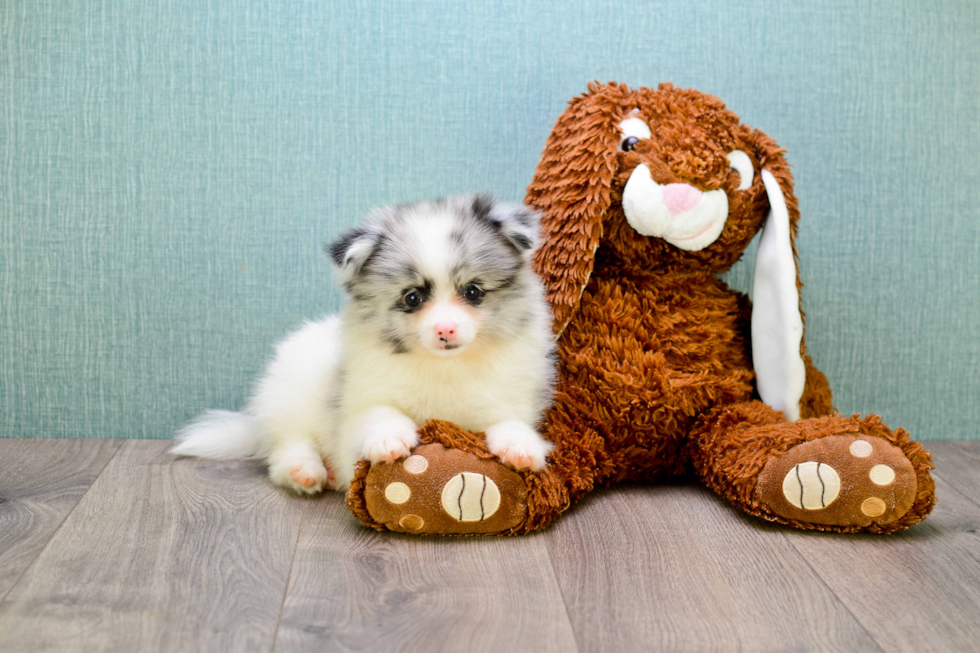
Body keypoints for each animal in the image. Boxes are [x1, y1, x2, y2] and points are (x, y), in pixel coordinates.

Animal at [172, 196, 556, 492]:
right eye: (413, 298)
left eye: (473, 292)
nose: (445, 329)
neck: (443, 366)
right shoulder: (360, 399)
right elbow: (378, 412)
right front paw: (388, 439)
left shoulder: (507, 398)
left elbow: (507, 421)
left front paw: (521, 447)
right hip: (291, 399)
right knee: (287, 445)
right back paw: (306, 471)